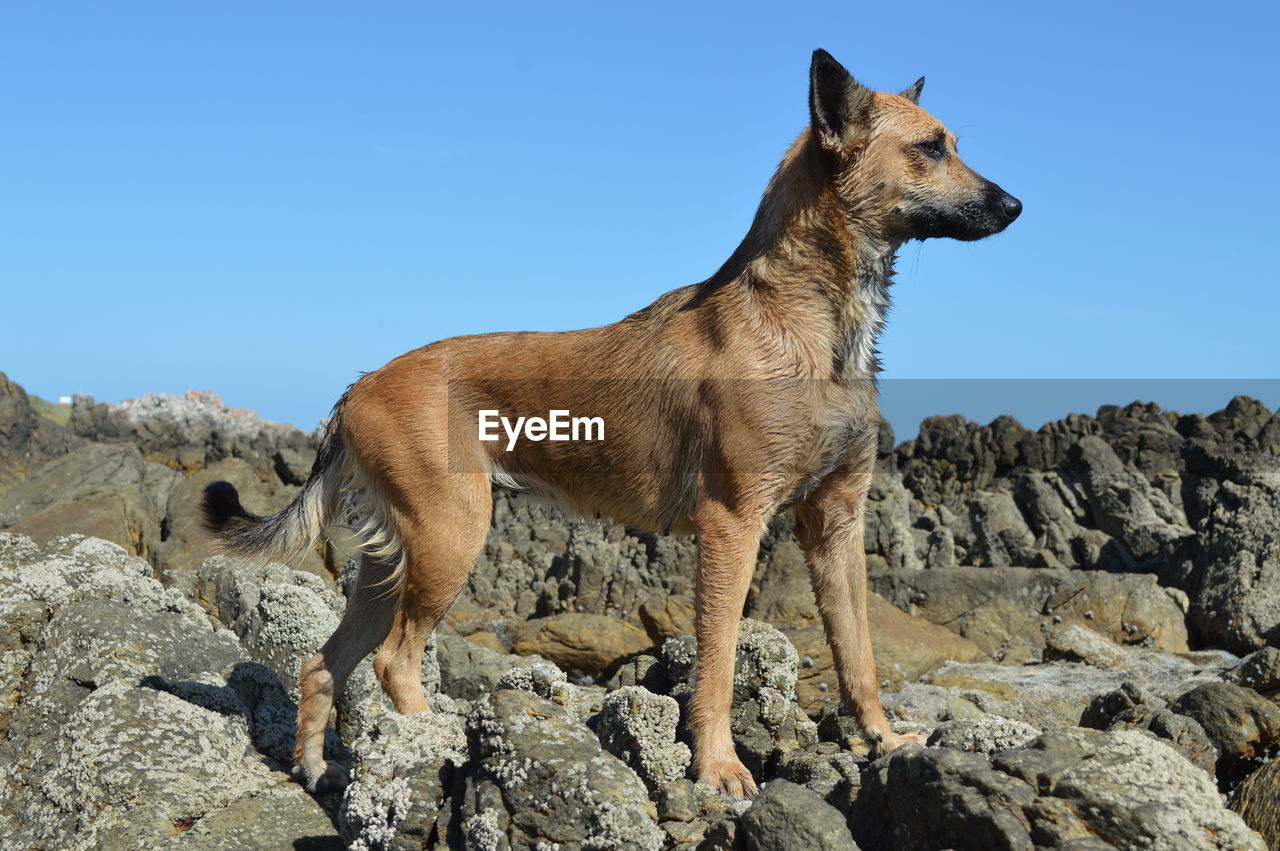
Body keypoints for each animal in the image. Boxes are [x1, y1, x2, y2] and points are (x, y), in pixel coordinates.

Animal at [202, 49, 1018, 798]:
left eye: (951, 143)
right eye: (931, 148)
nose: (1014, 206)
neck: (808, 318)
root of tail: (356, 388)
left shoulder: (837, 524)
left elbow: (859, 654)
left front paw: (883, 740)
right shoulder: (733, 524)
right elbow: (718, 664)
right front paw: (718, 766)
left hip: (389, 560)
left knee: (323, 662)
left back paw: (314, 768)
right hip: (450, 535)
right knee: (393, 659)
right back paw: (431, 742)